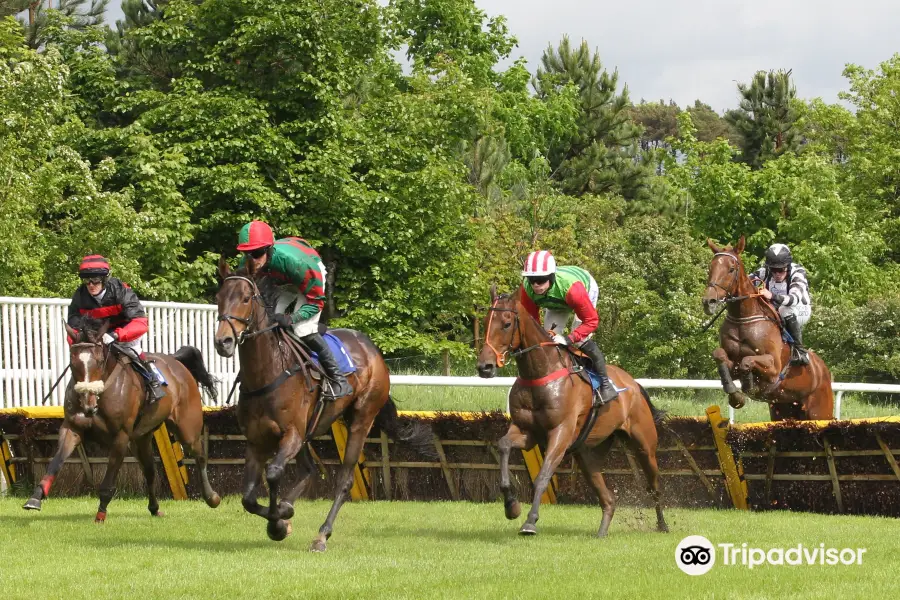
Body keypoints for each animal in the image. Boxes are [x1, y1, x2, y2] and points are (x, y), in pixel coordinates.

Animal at [23, 318, 223, 520]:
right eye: (73, 362)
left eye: (99, 361)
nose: (88, 403)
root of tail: (175, 360)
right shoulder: (73, 427)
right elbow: (55, 462)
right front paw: (35, 498)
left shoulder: (121, 436)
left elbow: (108, 480)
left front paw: (100, 515)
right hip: (141, 438)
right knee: (150, 471)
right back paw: (154, 508)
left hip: (187, 428)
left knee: (199, 456)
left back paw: (212, 497)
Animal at [213, 258, 434, 552]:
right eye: (218, 299)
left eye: (246, 298)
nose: (223, 342)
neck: (269, 371)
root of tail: (372, 348)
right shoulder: (257, 440)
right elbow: (248, 498)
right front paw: (282, 516)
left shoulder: (292, 434)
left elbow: (273, 473)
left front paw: (279, 522)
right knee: (309, 470)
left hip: (361, 419)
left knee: (344, 479)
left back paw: (321, 534)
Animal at [478, 286, 668, 540]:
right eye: (485, 321)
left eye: (507, 323)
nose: (484, 367)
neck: (540, 372)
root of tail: (633, 383)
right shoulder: (527, 432)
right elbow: (504, 446)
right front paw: (512, 507)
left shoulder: (561, 433)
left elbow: (542, 477)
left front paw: (530, 522)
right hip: (588, 454)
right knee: (608, 498)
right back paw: (601, 533)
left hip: (644, 445)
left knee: (654, 486)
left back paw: (663, 526)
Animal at [700, 237, 832, 420]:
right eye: (710, 268)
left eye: (731, 269)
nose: (709, 302)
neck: (743, 320)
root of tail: (825, 371)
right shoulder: (731, 364)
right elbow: (719, 355)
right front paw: (736, 396)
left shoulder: (773, 368)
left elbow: (747, 361)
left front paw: (748, 387)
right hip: (783, 409)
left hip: (820, 411)